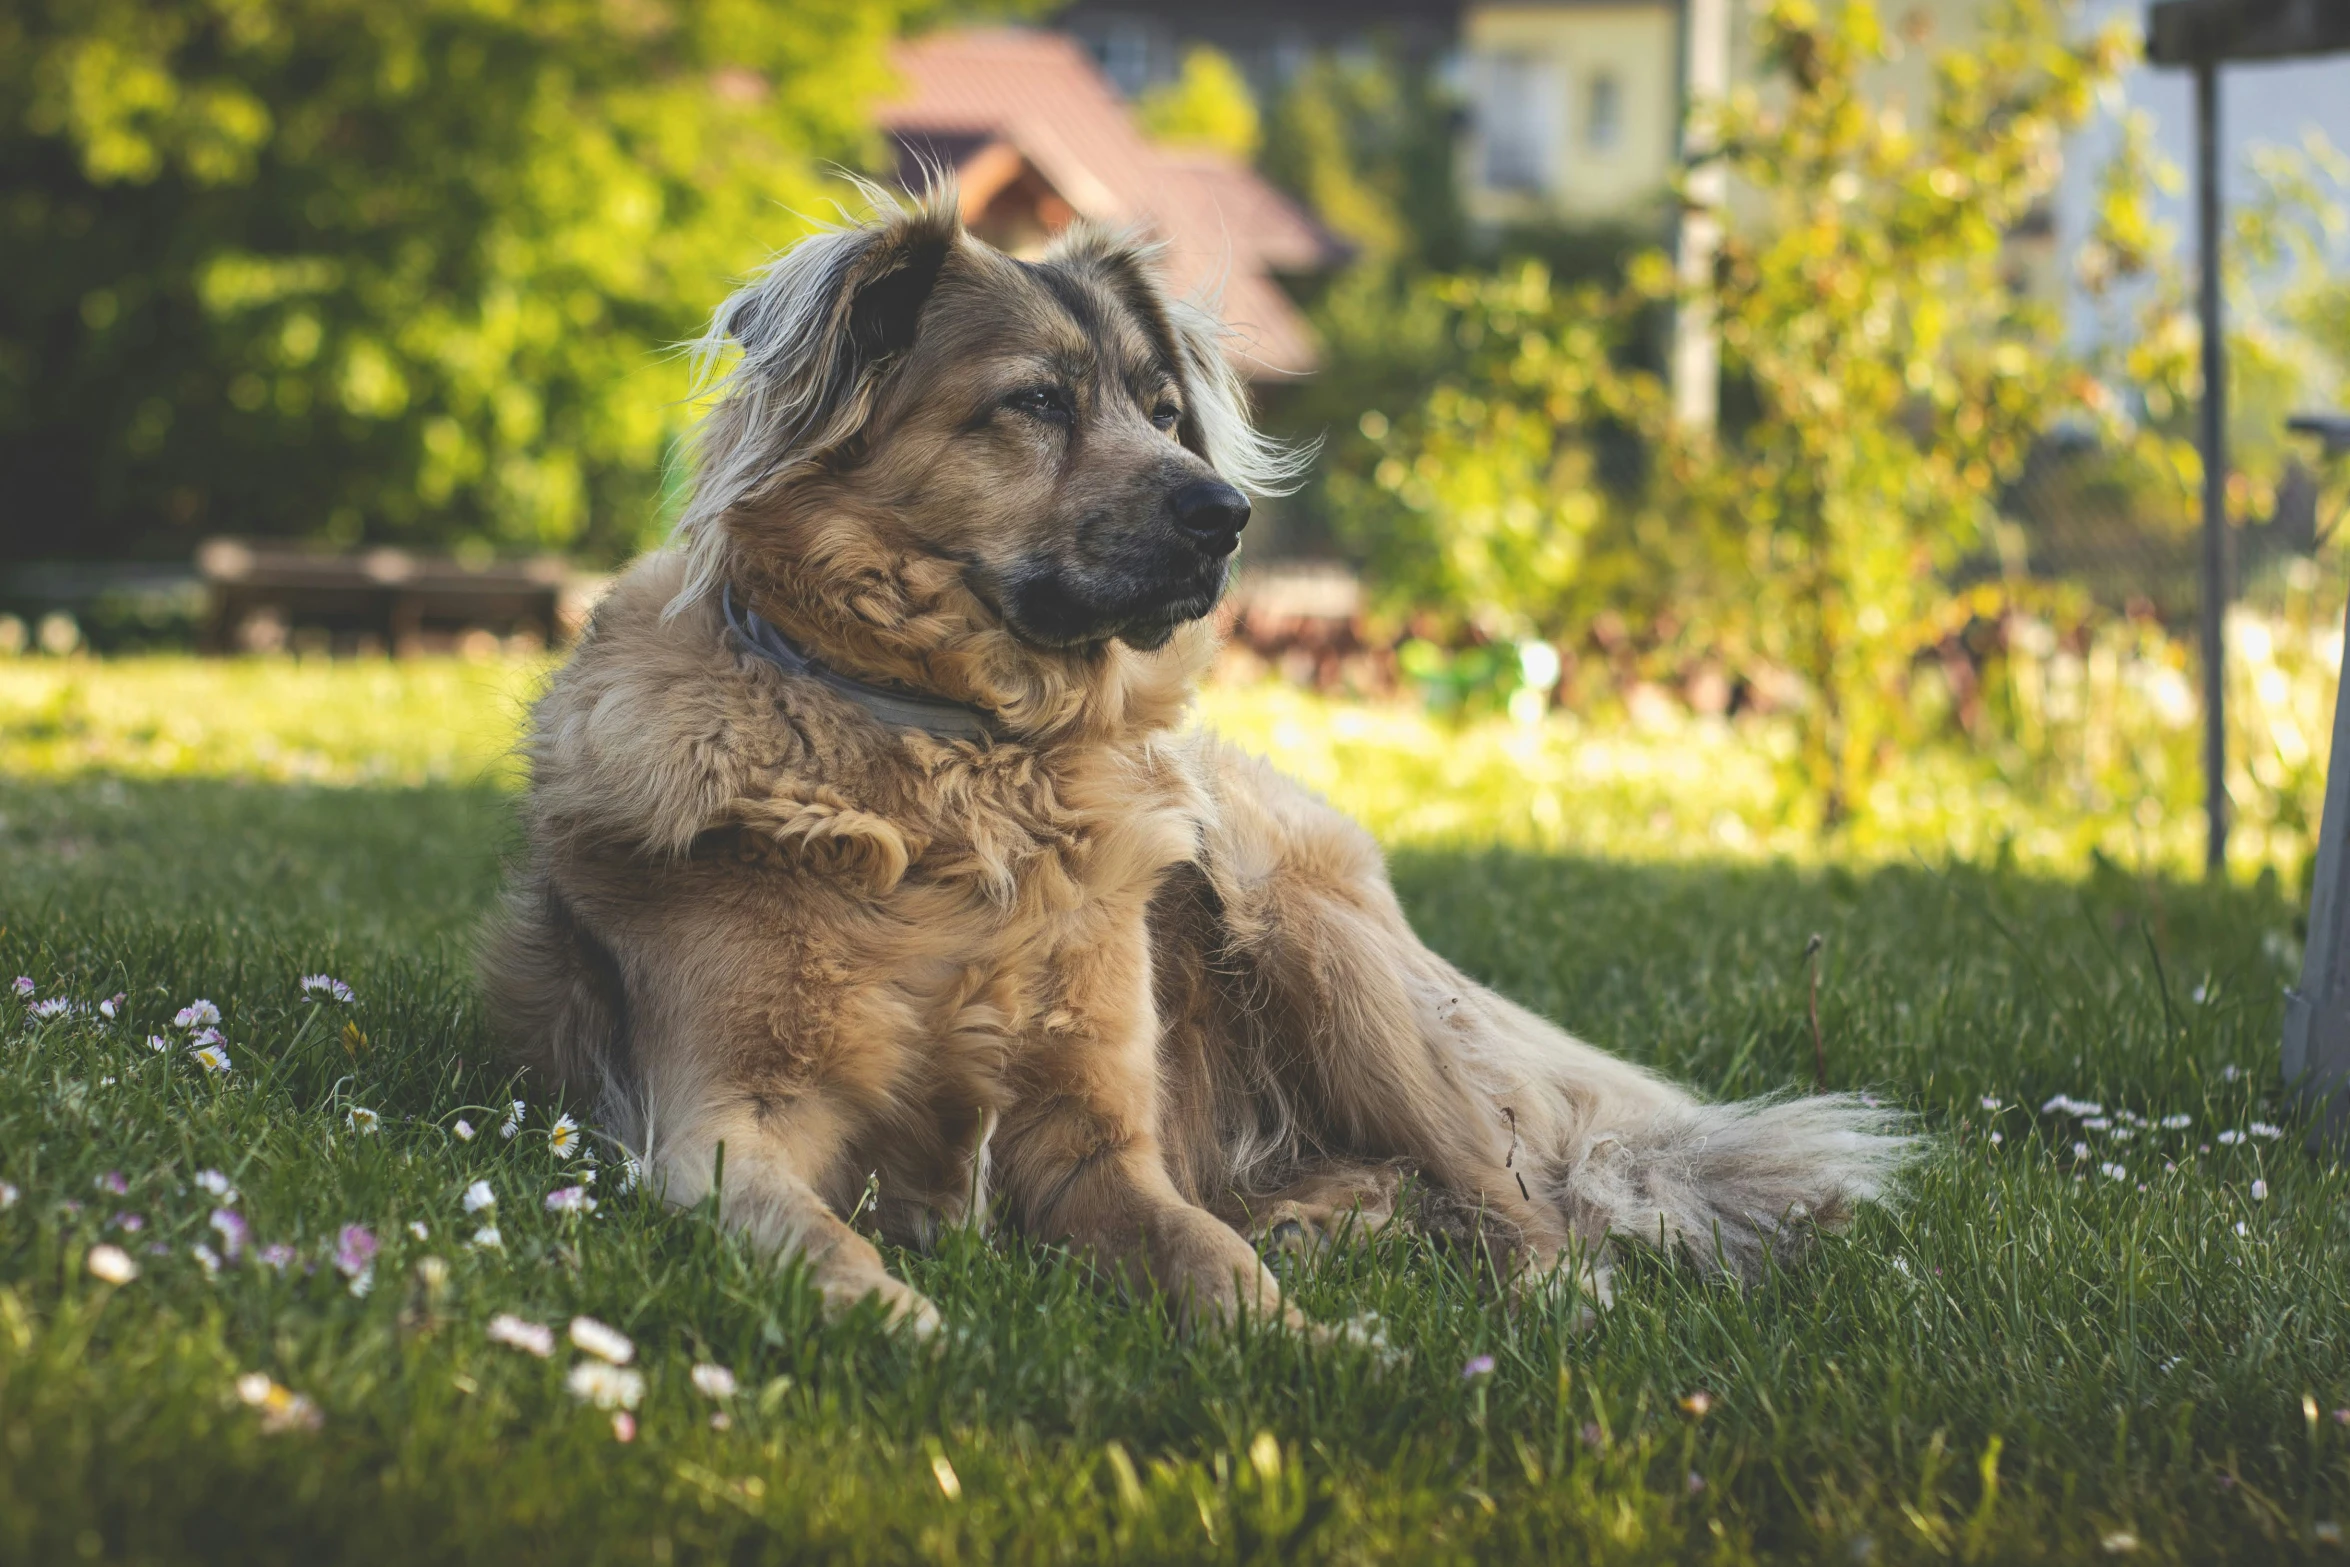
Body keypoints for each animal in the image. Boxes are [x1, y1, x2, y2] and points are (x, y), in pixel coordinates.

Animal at [481, 190, 1908, 1334]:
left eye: (1164, 411)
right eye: (1034, 403)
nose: (1222, 516)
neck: (957, 765)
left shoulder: (1091, 1138)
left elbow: (1208, 1257)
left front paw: (1312, 1346)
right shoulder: (719, 1125)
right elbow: (812, 1237)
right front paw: (901, 1321)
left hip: (1308, 928)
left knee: (1515, 1195)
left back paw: (1541, 1301)